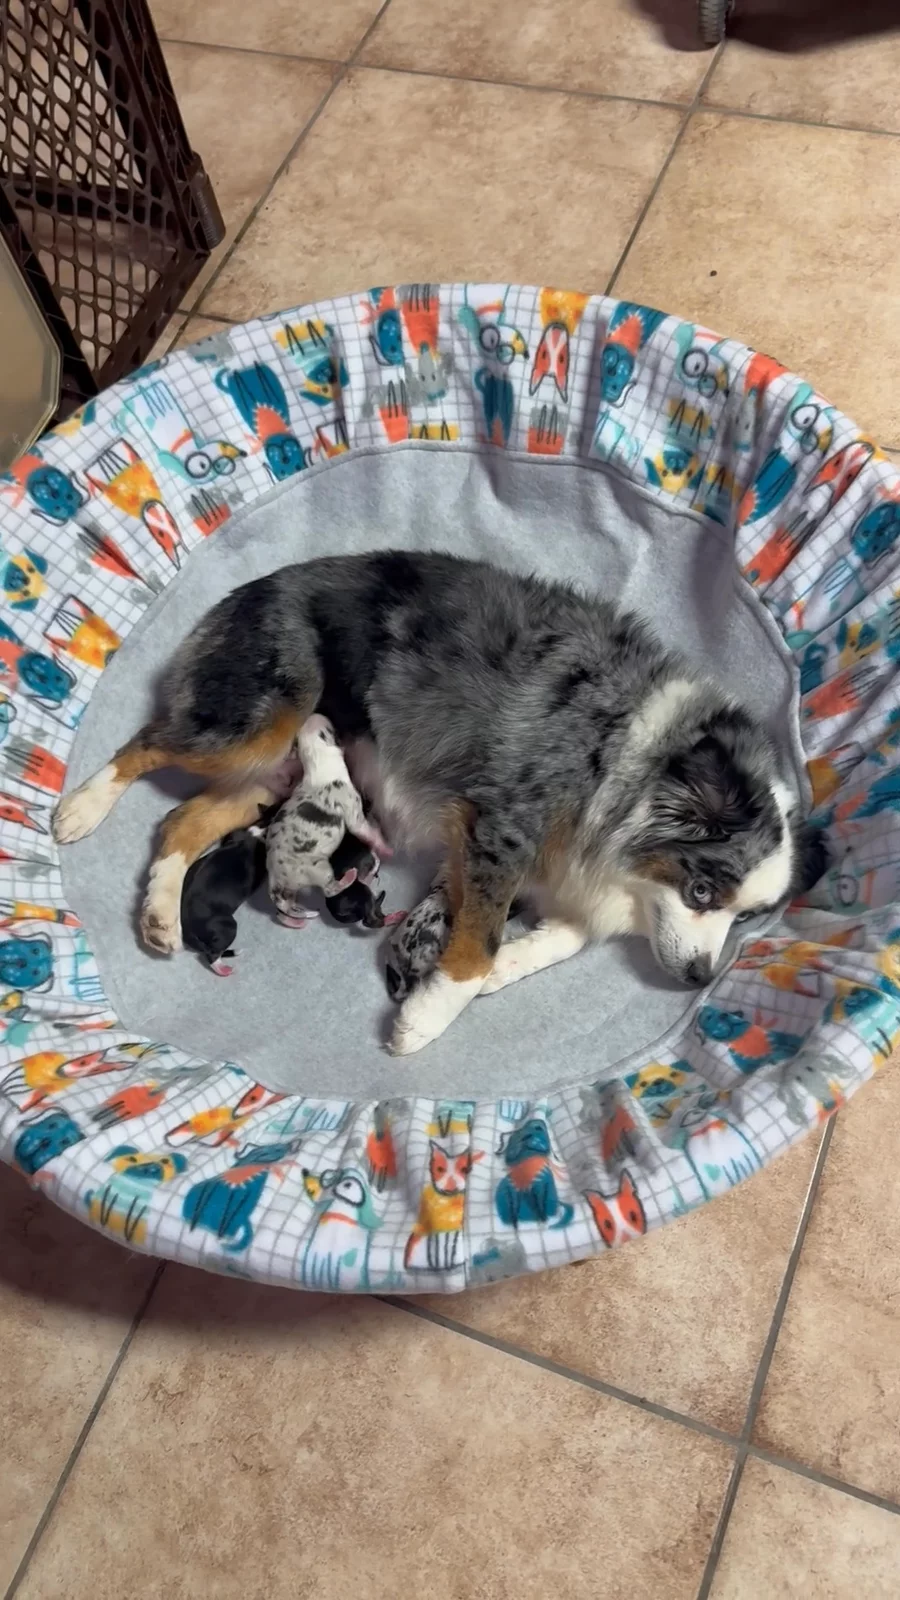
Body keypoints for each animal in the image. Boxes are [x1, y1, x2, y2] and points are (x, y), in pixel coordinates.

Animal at [53, 550, 826, 1055]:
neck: (634, 762)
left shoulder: (563, 874)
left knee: (182, 818)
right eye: (702, 890)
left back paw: (160, 916)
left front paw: (505, 968)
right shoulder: (500, 830)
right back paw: (78, 810)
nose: (699, 978)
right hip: (261, 719)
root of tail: (246, 591)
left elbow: (563, 938)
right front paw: (425, 1019)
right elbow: (477, 945)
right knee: (149, 745)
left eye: (747, 916)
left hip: (268, 775)